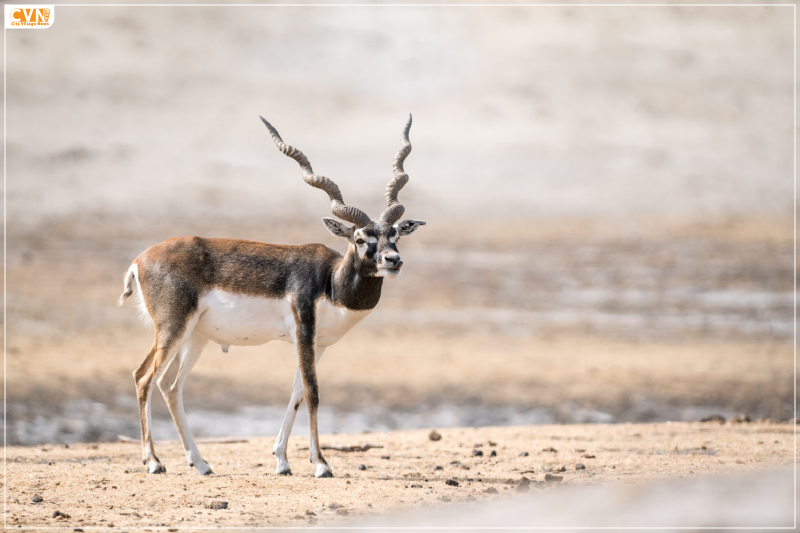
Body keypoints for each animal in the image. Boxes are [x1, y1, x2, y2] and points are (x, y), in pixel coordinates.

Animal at [119, 114, 424, 476]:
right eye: (361, 238)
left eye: (395, 235)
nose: (393, 260)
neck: (330, 281)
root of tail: (140, 259)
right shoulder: (303, 331)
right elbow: (313, 392)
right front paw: (321, 464)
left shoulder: (318, 344)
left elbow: (296, 392)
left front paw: (282, 460)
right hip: (171, 329)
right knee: (143, 378)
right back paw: (153, 461)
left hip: (195, 336)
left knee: (169, 385)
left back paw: (201, 463)